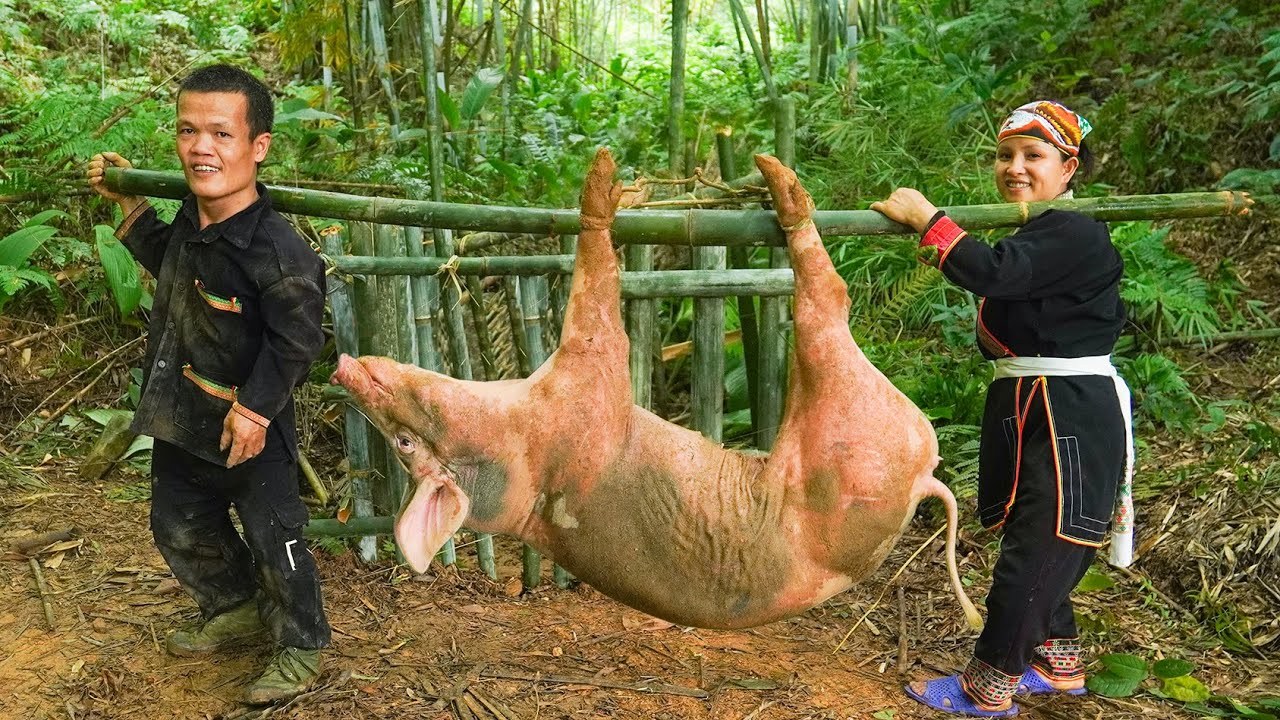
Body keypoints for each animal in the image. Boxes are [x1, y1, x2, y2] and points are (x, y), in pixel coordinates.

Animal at [332, 148, 982, 631]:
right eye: (408, 447)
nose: (341, 366)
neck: (528, 458)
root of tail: (923, 482)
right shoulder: (589, 387)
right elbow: (596, 300)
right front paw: (603, 174)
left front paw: (632, 189)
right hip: (852, 426)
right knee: (827, 299)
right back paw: (785, 182)